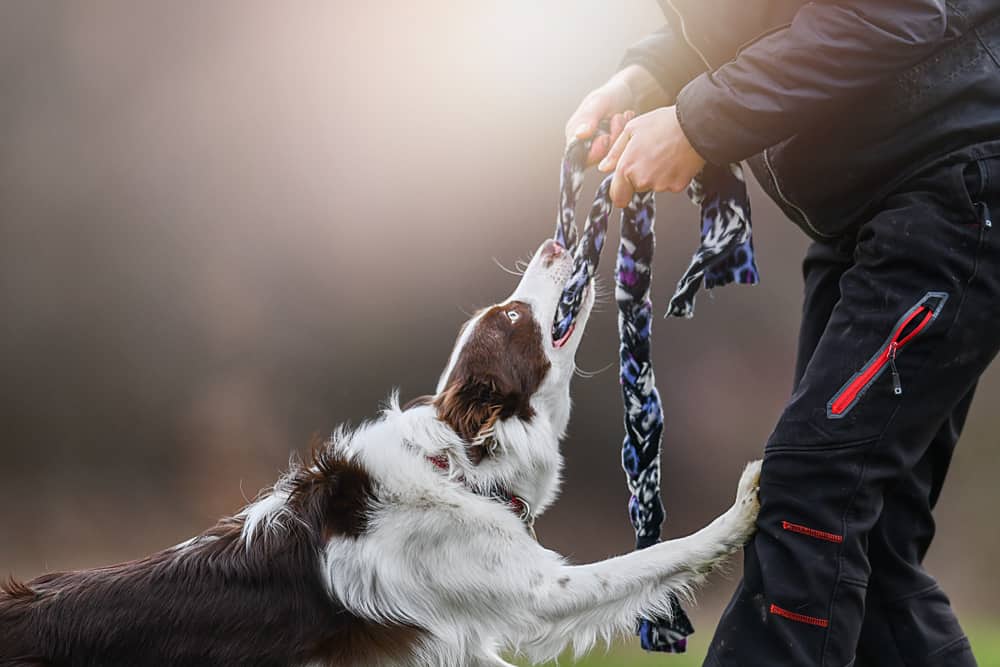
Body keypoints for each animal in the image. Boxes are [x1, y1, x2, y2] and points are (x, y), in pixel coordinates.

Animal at [0, 241, 760, 667]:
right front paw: (743, 509)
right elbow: (654, 558)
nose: (553, 240)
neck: (458, 469)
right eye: (512, 317)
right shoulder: (534, 592)